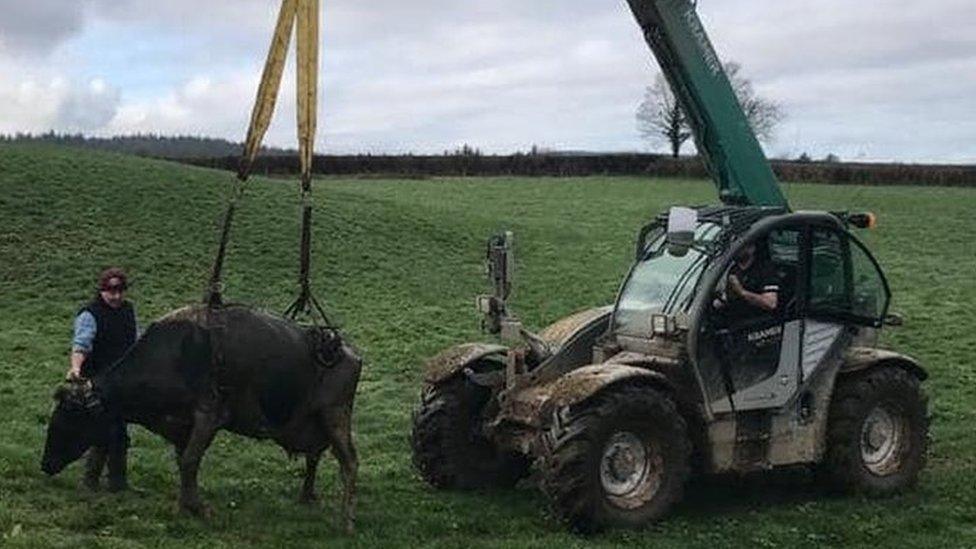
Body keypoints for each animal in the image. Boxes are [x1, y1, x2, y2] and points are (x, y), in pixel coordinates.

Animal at [40, 304, 364, 532]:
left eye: (68, 418)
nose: (46, 464)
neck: (173, 355)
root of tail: (341, 348)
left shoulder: (210, 415)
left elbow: (189, 461)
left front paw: (197, 507)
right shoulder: (181, 426)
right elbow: (184, 463)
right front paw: (186, 505)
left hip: (335, 415)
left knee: (349, 462)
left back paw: (346, 520)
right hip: (315, 422)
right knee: (315, 456)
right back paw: (306, 497)